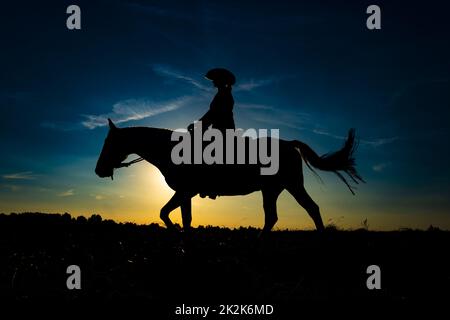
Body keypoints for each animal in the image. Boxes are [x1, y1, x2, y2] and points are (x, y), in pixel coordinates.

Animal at [96, 119, 366, 234]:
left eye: (109, 142)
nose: (99, 170)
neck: (170, 149)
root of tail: (289, 143)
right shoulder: (186, 193)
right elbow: (185, 219)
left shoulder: (184, 191)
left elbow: (165, 213)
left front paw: (175, 234)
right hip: (273, 190)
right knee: (274, 216)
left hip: (291, 185)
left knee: (310, 209)